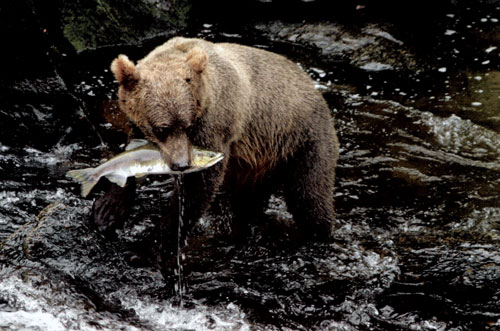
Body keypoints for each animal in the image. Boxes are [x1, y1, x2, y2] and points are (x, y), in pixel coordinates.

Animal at [92, 36, 338, 274]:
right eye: (162, 128)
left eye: (187, 125)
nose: (182, 164)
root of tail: (315, 88)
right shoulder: (139, 126)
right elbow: (131, 155)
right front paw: (107, 210)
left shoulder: (213, 125)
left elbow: (199, 187)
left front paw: (145, 251)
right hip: (260, 160)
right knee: (248, 201)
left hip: (301, 139)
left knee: (308, 196)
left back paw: (317, 239)